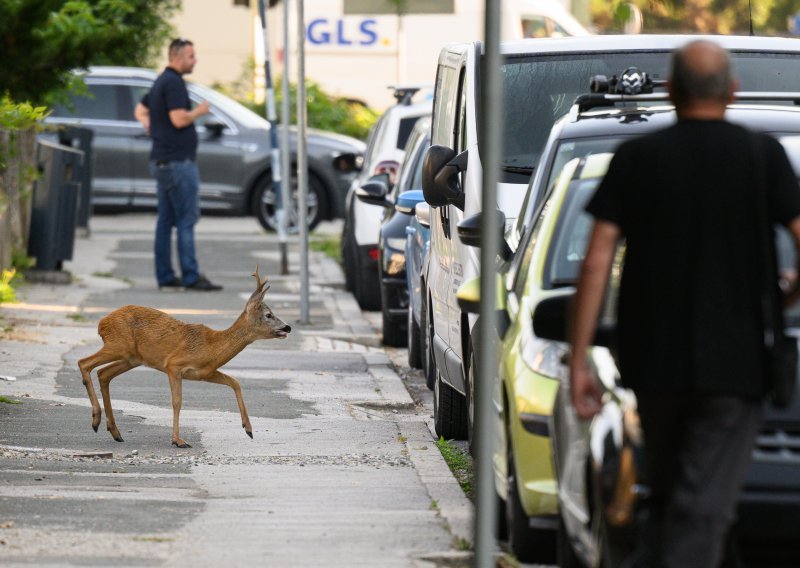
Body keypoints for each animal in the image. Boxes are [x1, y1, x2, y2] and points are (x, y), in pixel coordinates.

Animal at [77, 268, 290, 448]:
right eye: (269, 315)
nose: (287, 327)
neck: (211, 346)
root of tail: (102, 323)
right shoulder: (173, 365)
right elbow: (177, 402)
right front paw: (178, 441)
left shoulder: (204, 373)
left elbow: (235, 382)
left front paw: (249, 429)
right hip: (118, 346)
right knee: (84, 363)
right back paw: (96, 419)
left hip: (132, 358)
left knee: (103, 374)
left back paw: (114, 432)